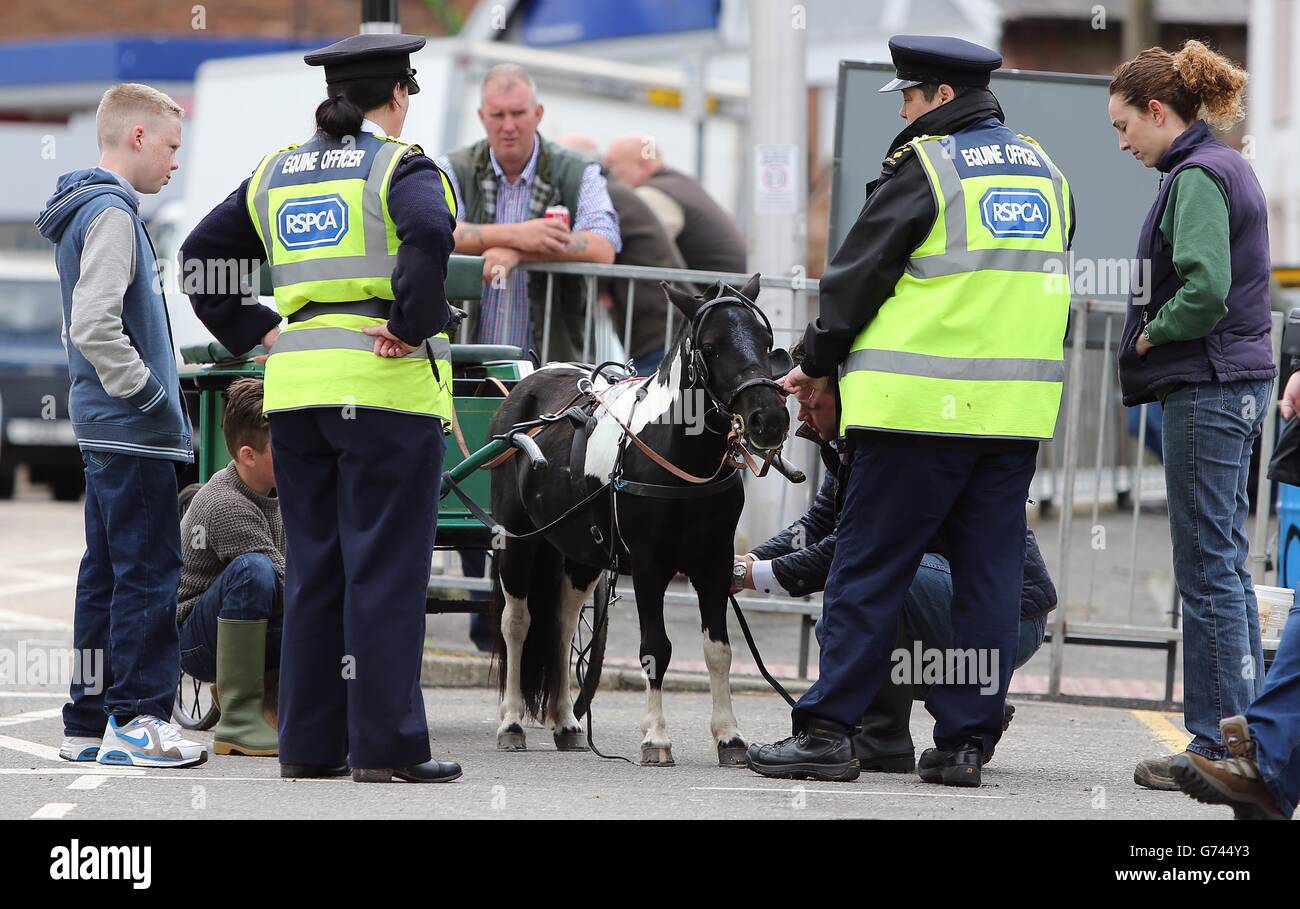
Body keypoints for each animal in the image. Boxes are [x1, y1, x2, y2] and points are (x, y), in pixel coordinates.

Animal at [488, 274, 790, 764]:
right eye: (711, 346)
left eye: (767, 342)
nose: (770, 419)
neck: (678, 457)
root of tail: (529, 383)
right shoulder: (650, 566)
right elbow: (655, 650)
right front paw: (656, 738)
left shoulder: (713, 564)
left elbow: (719, 650)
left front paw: (729, 736)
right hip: (519, 539)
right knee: (518, 622)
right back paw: (511, 722)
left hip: (580, 552)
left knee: (560, 626)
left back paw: (567, 721)